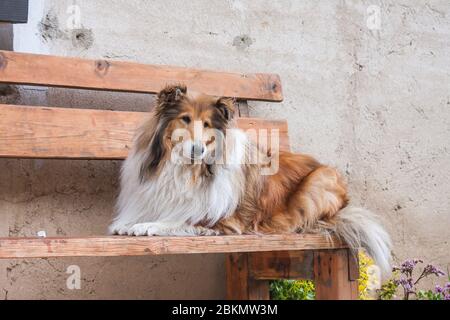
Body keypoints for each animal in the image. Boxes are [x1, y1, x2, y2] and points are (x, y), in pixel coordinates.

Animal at [109, 84, 390, 272]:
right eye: (185, 119)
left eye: (207, 124)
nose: (198, 150)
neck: (187, 170)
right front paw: (129, 223)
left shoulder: (220, 221)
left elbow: (177, 220)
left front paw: (146, 226)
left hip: (319, 182)